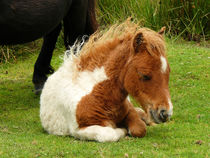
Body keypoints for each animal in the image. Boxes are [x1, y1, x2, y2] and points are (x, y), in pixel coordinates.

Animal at [40, 20, 173, 143]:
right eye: (144, 75)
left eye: (168, 73)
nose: (166, 113)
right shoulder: (78, 130)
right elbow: (110, 133)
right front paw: (122, 129)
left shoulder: (129, 110)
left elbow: (140, 128)